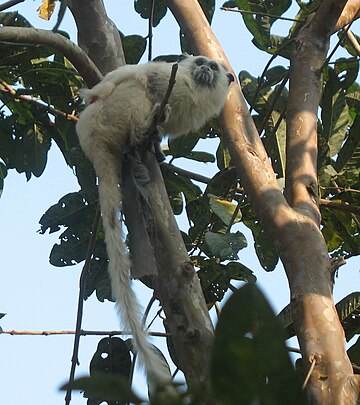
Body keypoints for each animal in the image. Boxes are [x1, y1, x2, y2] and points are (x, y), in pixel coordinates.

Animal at [75, 55, 233, 384]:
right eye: (201, 62)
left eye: (213, 67)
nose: (205, 70)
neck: (195, 93)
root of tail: (93, 145)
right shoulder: (169, 77)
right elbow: (142, 76)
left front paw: (159, 147)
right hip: (111, 114)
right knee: (135, 91)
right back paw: (141, 130)